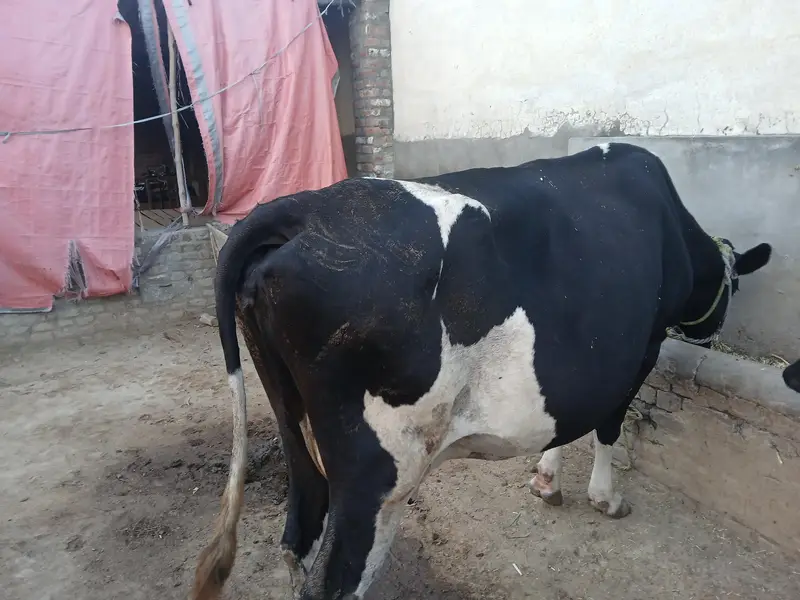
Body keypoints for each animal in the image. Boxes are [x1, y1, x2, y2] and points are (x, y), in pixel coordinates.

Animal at [190, 142, 772, 600]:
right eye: (736, 285)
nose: (711, 334)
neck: (672, 224)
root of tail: (300, 209)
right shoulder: (642, 345)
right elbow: (607, 423)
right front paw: (605, 498)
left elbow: (567, 418)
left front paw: (546, 478)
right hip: (378, 469)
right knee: (337, 579)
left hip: (293, 423)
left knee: (296, 536)